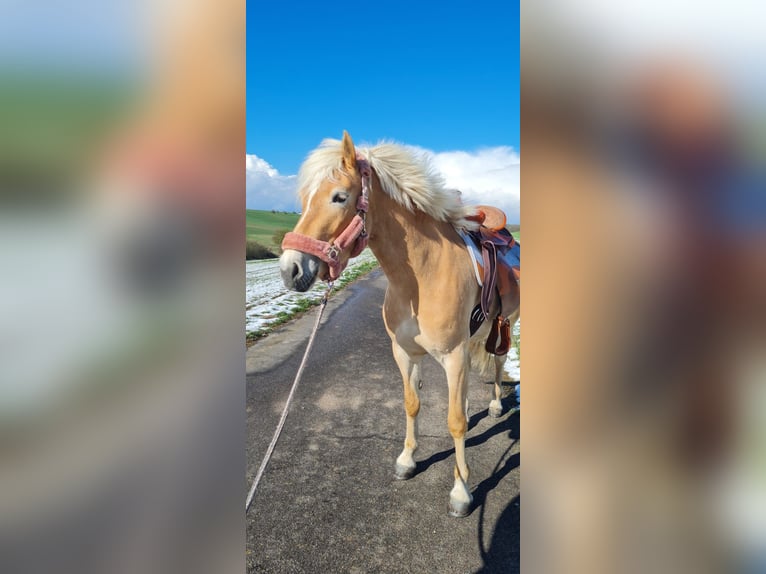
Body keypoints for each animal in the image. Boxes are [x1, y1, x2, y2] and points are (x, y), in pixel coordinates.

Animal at [280, 133, 520, 520]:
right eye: (304, 200)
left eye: (339, 197)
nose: (290, 269)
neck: (421, 276)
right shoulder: (405, 352)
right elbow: (412, 404)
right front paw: (407, 460)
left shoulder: (453, 355)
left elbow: (454, 422)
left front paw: (461, 492)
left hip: (504, 327)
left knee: (497, 365)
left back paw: (497, 406)